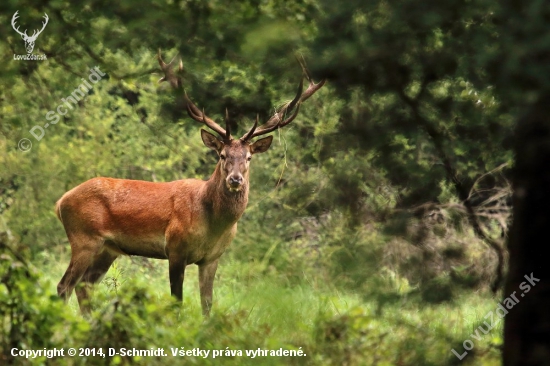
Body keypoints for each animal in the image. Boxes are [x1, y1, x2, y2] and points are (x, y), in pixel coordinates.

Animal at [55, 50, 326, 316]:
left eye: (248, 157)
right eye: (222, 155)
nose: (235, 179)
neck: (213, 223)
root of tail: (60, 202)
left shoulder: (212, 258)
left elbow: (207, 304)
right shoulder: (175, 248)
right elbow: (177, 302)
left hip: (108, 248)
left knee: (84, 285)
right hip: (84, 238)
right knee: (64, 285)